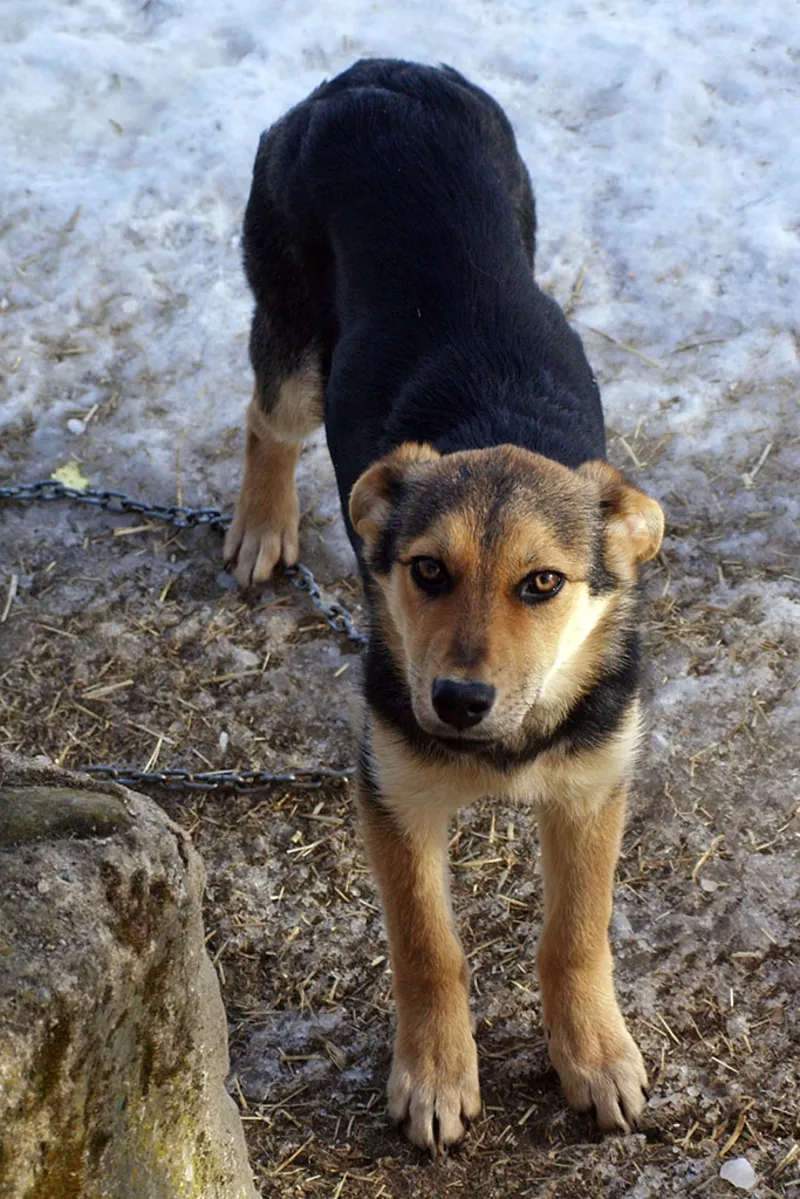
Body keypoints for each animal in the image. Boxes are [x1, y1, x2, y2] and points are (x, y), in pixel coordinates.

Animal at [224, 58, 662, 1151]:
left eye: (542, 584)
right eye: (424, 571)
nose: (458, 702)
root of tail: (374, 71)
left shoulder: (593, 782)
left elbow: (573, 934)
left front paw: (594, 1056)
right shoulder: (392, 789)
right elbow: (428, 944)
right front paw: (432, 1074)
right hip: (290, 330)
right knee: (265, 417)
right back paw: (260, 526)